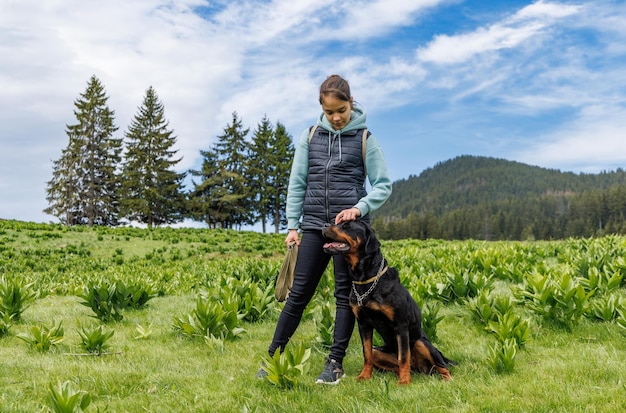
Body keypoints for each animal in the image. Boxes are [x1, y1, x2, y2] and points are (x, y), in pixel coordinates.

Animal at [322, 220, 454, 384]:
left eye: (346, 226)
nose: (324, 225)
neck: (365, 279)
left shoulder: (401, 325)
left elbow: (403, 357)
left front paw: (404, 382)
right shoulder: (363, 324)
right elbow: (367, 354)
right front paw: (364, 376)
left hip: (421, 343)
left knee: (441, 366)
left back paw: (445, 379)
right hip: (379, 351)